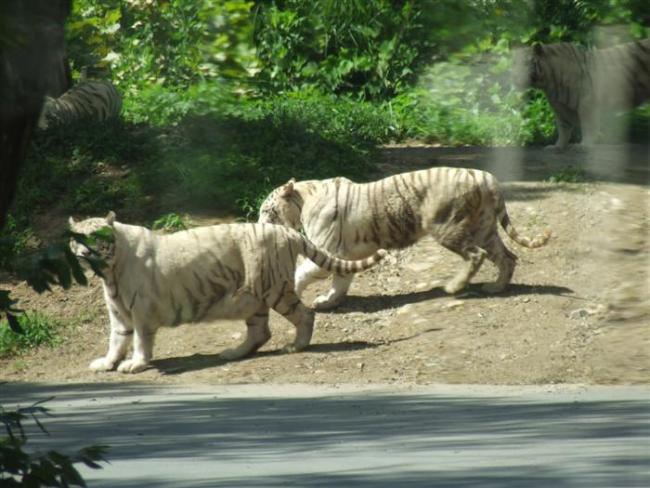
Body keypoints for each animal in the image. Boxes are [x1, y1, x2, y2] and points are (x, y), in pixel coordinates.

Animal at [68, 212, 386, 374]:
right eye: (77, 239)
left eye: (96, 237)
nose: (83, 253)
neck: (109, 273)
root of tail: (287, 232)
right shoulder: (119, 312)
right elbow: (116, 340)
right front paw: (106, 363)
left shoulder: (142, 310)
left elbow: (140, 342)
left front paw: (135, 364)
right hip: (255, 298)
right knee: (260, 332)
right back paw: (233, 353)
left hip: (274, 289)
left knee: (305, 314)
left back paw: (296, 346)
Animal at [258, 167, 551, 310]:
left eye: (266, 210)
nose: (258, 226)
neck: (303, 197)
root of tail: (484, 176)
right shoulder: (345, 256)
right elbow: (341, 281)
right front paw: (329, 302)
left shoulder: (326, 251)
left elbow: (303, 272)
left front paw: (295, 292)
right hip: (484, 227)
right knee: (507, 257)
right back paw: (496, 287)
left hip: (447, 226)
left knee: (476, 255)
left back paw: (454, 287)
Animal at [512, 39, 650, 149]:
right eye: (514, 64)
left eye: (525, 63)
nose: (513, 76)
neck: (549, 81)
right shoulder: (560, 108)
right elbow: (563, 129)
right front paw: (557, 146)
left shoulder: (587, 104)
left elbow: (587, 126)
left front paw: (584, 145)